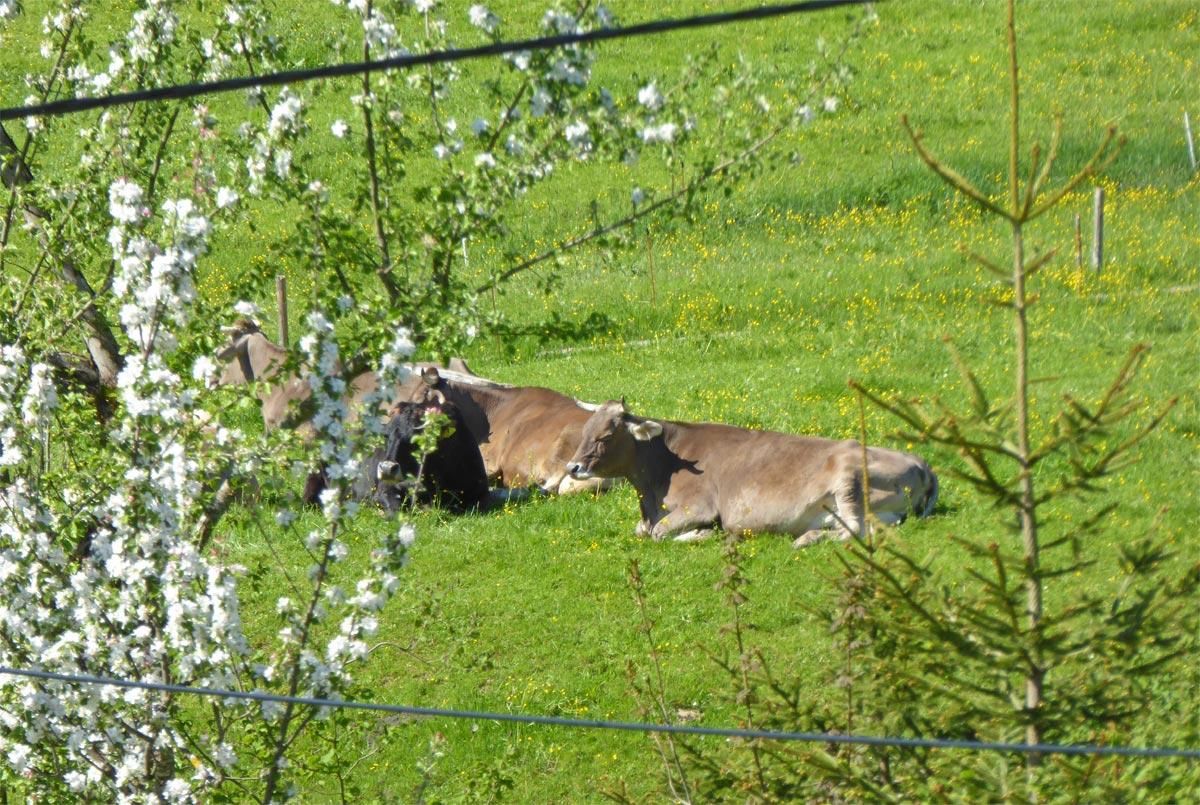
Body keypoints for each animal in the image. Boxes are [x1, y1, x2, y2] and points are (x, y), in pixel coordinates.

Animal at [565, 400, 938, 547]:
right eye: (585, 429)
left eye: (605, 436)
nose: (573, 467)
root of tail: (922, 462)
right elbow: (644, 530)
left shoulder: (699, 506)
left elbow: (658, 532)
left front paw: (702, 534)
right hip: (882, 512)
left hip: (849, 479)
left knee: (856, 531)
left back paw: (805, 539)